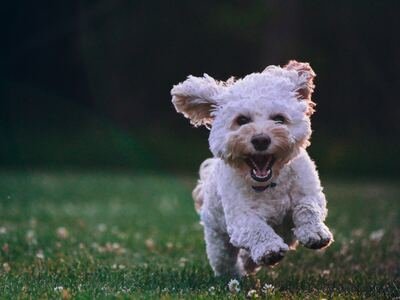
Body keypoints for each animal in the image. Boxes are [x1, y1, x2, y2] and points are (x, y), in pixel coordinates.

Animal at [170, 60, 332, 276]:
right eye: (242, 120)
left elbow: (307, 208)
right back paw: (235, 274)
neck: (270, 184)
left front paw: (315, 233)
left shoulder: (309, 192)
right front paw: (270, 249)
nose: (261, 139)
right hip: (217, 237)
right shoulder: (240, 218)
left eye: (279, 118)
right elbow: (256, 228)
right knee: (225, 260)